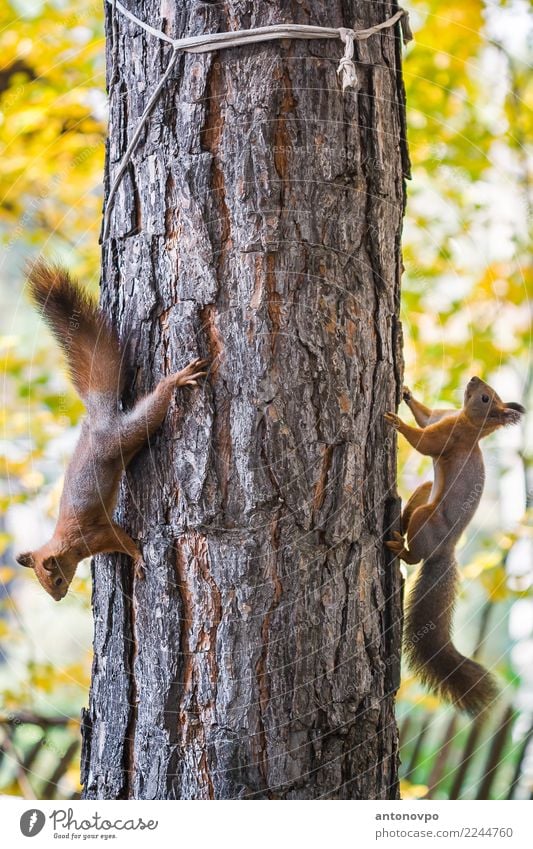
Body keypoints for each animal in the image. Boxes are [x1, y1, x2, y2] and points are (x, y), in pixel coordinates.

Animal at [16, 262, 208, 600]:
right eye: (45, 584)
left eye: (56, 580)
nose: (58, 597)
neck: (66, 543)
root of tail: (100, 420)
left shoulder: (97, 535)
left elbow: (124, 541)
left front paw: (140, 559)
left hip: (126, 433)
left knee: (153, 407)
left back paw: (176, 380)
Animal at [382, 378, 524, 716]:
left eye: (485, 398)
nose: (473, 379)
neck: (468, 423)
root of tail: (445, 551)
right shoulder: (441, 418)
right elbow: (426, 417)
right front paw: (406, 393)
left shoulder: (450, 436)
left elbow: (424, 442)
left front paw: (397, 423)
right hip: (424, 493)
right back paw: (398, 522)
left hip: (427, 519)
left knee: (415, 557)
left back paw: (399, 547)